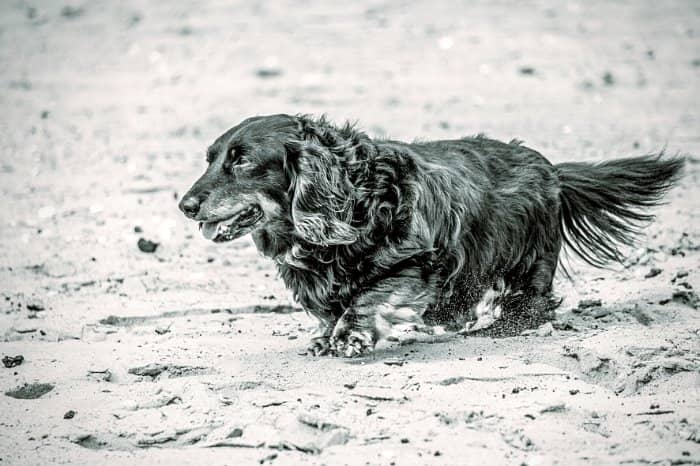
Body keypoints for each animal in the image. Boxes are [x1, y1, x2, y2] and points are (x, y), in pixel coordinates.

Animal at [176, 113, 684, 356]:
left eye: (242, 161)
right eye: (212, 158)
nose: (185, 206)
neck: (356, 196)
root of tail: (552, 169)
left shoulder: (419, 260)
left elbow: (369, 296)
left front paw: (349, 336)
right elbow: (330, 307)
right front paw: (326, 334)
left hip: (527, 261)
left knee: (531, 303)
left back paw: (499, 328)